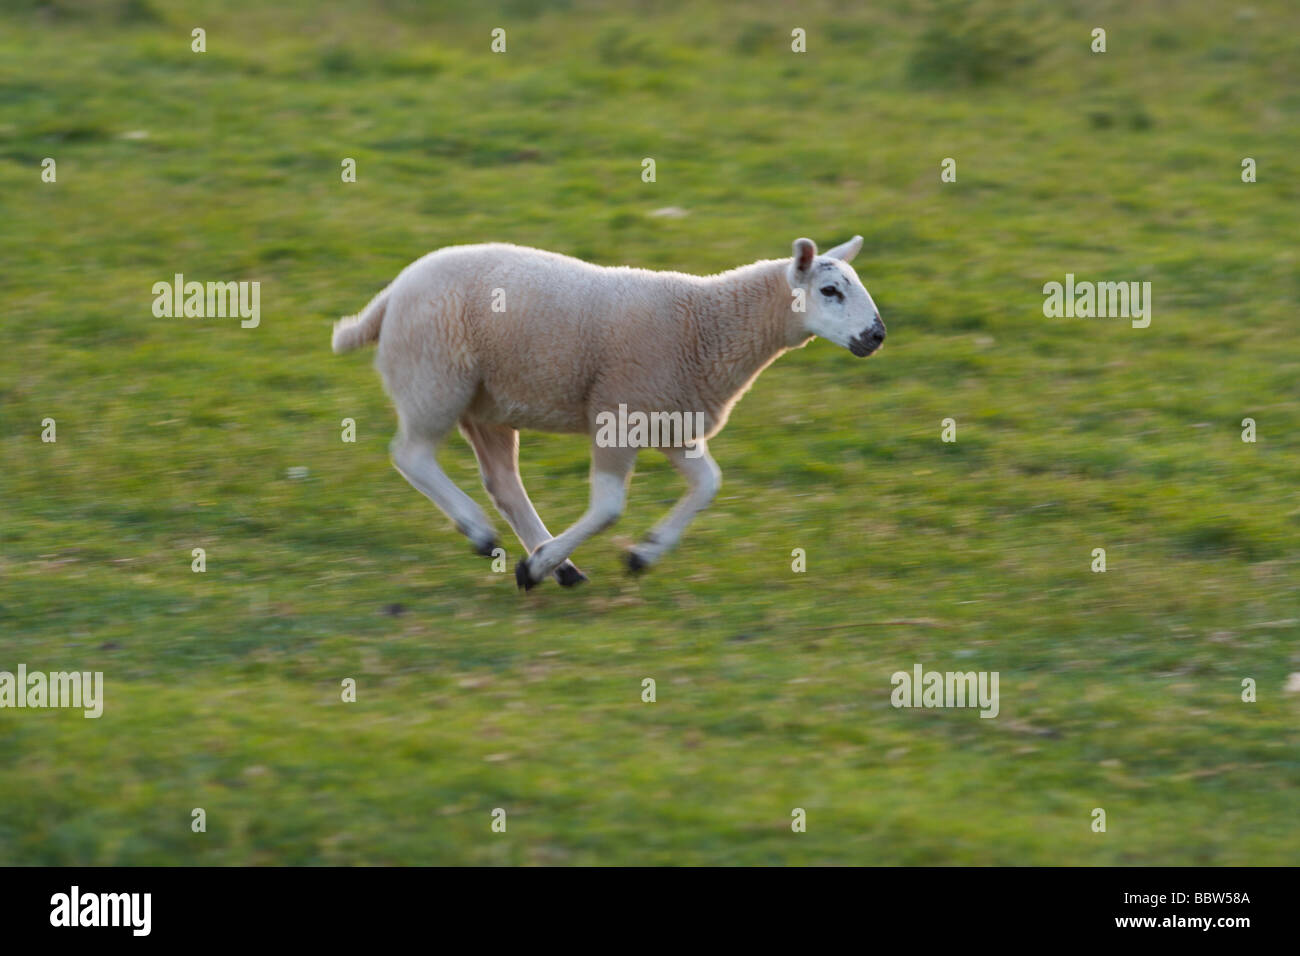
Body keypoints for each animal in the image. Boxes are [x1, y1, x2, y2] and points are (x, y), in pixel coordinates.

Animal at [332, 235, 885, 589]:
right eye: (830, 291)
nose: (877, 335)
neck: (709, 325)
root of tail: (388, 298)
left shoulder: (671, 421)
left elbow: (708, 485)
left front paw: (644, 553)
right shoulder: (618, 415)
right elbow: (609, 506)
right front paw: (538, 568)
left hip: (486, 404)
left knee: (504, 483)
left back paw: (556, 565)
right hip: (436, 378)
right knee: (413, 455)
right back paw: (485, 534)